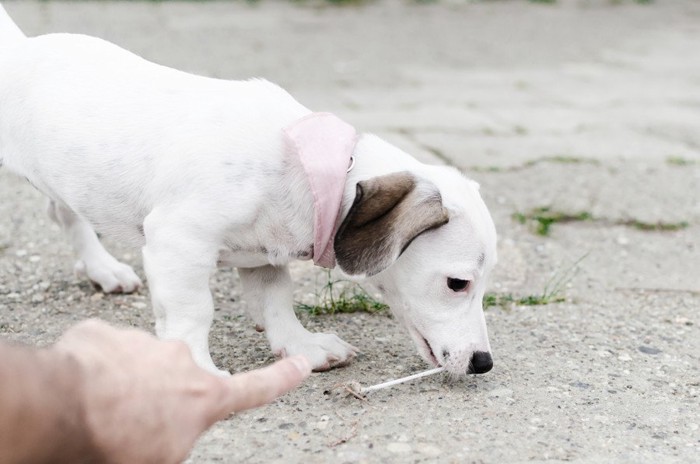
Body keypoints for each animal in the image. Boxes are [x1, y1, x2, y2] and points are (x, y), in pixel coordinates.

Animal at [0, 5, 498, 376]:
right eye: (457, 283)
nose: (483, 363)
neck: (305, 169)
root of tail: (20, 49)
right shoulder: (179, 243)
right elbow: (193, 312)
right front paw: (196, 370)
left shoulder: (263, 258)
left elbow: (276, 304)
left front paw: (301, 345)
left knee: (65, 214)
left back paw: (102, 268)